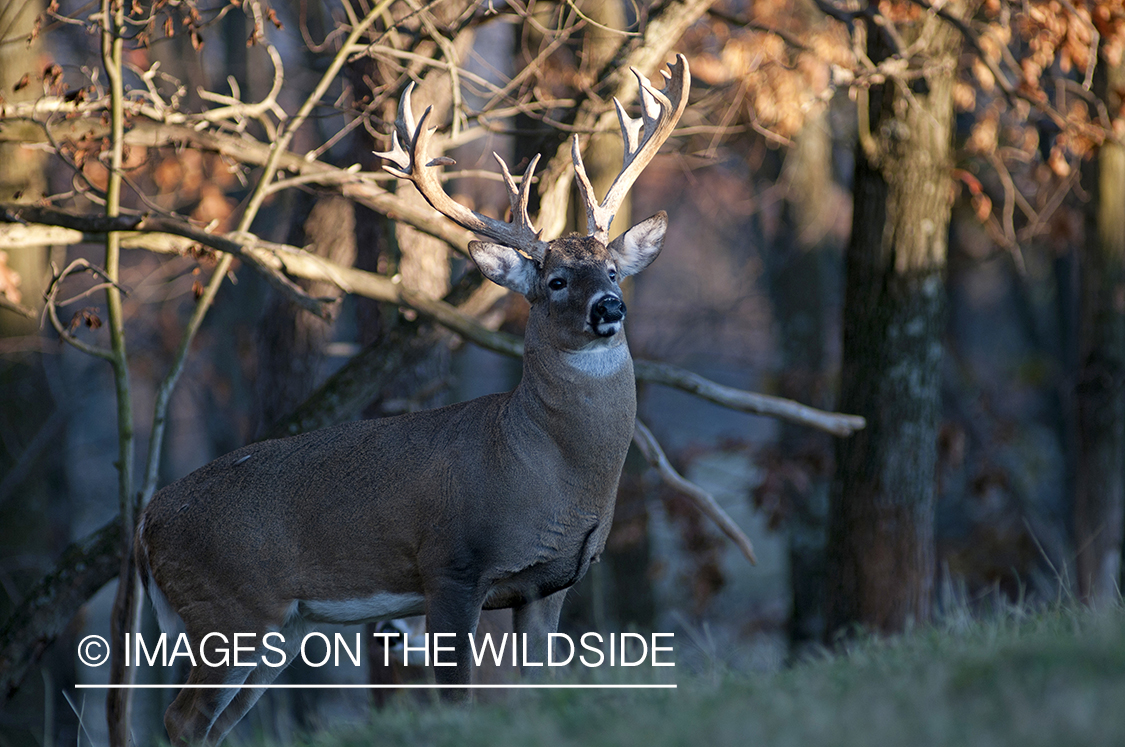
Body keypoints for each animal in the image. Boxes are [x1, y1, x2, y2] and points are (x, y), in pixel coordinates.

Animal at [137, 54, 688, 747]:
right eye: (558, 281)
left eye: (612, 270)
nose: (610, 307)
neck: (545, 469)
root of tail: (146, 523)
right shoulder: (451, 565)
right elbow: (458, 700)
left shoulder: (552, 583)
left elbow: (534, 693)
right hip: (229, 606)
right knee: (183, 718)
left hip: (281, 627)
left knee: (210, 723)